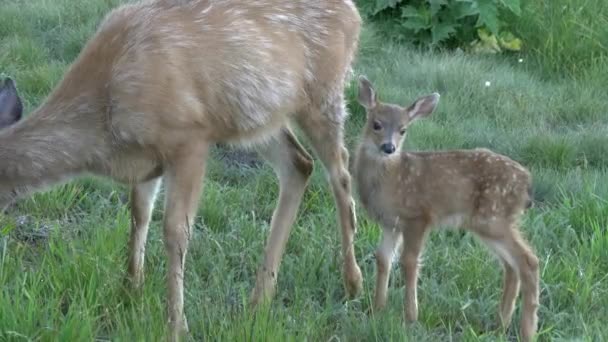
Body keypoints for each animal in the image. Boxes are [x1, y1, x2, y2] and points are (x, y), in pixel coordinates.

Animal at [0, 0, 364, 340]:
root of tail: (354, 13)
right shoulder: (147, 160)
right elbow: (139, 213)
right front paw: (131, 289)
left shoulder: (189, 138)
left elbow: (175, 230)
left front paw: (176, 326)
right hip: (259, 116)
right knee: (299, 164)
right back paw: (259, 299)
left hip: (324, 93)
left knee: (342, 171)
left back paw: (353, 282)